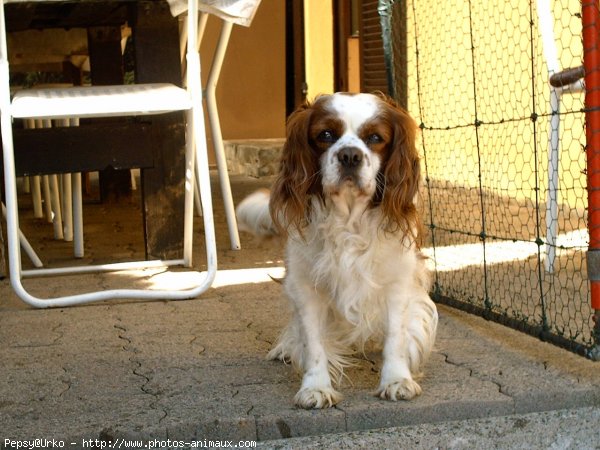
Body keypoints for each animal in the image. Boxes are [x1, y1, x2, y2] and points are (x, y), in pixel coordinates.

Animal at [237, 93, 438, 410]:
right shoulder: (305, 287)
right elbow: (313, 342)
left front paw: (396, 380)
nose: (350, 156)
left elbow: (396, 336)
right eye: (326, 135)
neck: (348, 220)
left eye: (375, 138)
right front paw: (316, 387)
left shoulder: (397, 283)